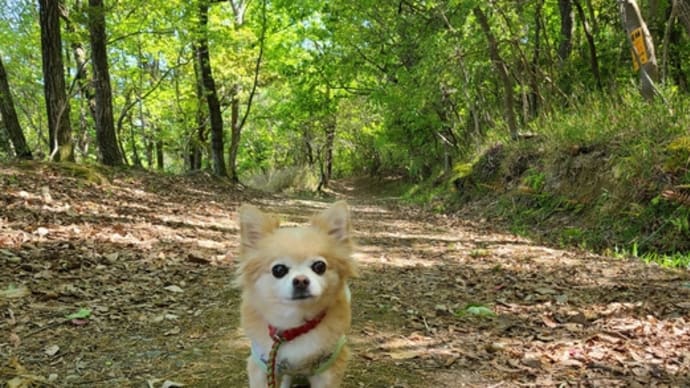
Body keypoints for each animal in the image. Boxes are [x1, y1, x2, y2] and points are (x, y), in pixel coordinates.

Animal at [235, 202, 354, 386]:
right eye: (278, 270)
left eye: (319, 266)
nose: (301, 280)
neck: (294, 328)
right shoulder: (262, 365)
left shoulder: (328, 369)